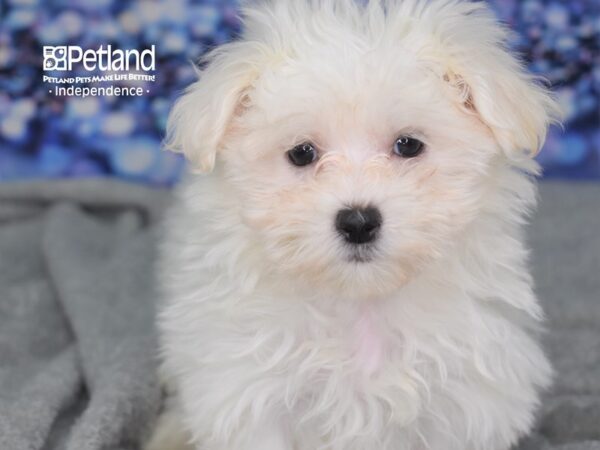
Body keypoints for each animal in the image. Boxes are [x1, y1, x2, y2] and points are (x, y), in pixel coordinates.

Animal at [148, 1, 560, 448]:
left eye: (408, 145)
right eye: (302, 153)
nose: (359, 222)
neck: (361, 301)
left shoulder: (463, 397)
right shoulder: (249, 387)